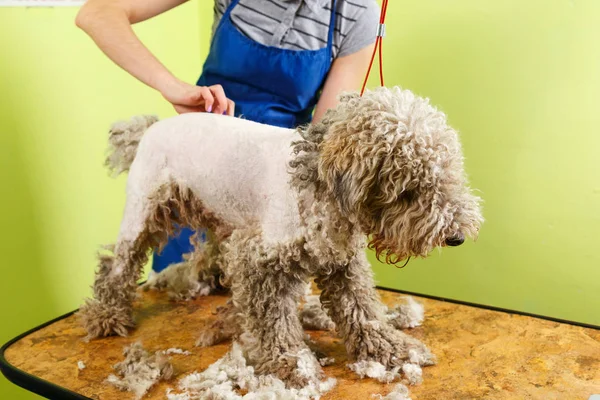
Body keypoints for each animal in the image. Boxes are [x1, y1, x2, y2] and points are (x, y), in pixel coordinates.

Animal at [79, 86, 482, 388]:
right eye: (408, 189)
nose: (456, 237)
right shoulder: (261, 260)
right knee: (117, 263)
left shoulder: (341, 260)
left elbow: (362, 309)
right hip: (143, 212)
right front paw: (290, 363)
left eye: (447, 172)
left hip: (217, 212)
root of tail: (150, 128)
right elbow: (273, 320)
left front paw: (390, 348)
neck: (316, 184)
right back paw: (107, 315)